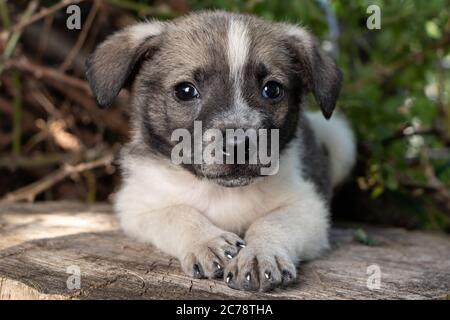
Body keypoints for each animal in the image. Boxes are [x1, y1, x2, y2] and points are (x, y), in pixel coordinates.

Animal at [86, 10, 356, 292]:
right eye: (185, 91)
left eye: (272, 90)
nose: (238, 145)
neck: (221, 192)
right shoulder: (136, 205)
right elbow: (176, 212)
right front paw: (206, 240)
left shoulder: (309, 208)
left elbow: (272, 222)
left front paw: (260, 253)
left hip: (340, 139)